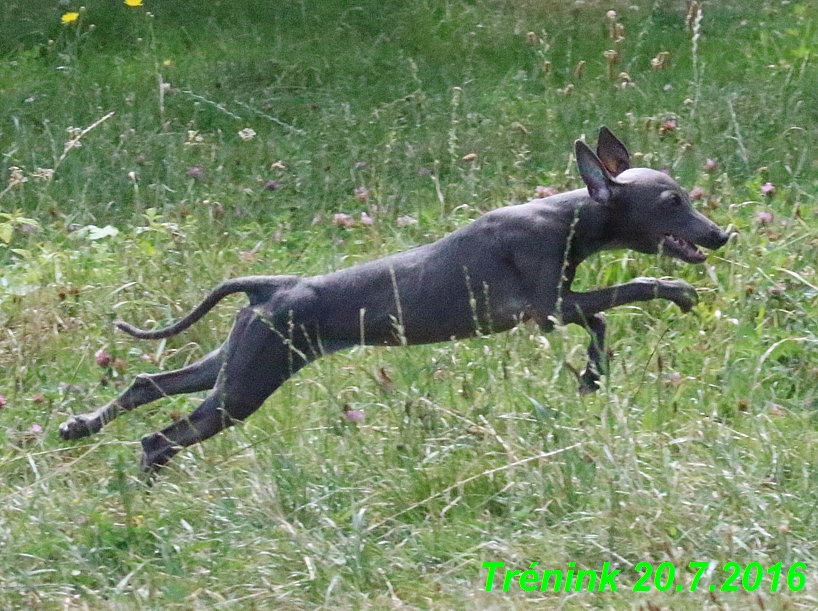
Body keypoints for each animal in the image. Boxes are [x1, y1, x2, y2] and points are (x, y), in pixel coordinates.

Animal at [60, 126, 728, 470]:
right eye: (672, 203)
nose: (722, 235)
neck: (568, 216)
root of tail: (271, 284)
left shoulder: (557, 310)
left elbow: (601, 324)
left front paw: (592, 376)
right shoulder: (546, 309)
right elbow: (629, 291)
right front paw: (676, 291)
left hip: (235, 360)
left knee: (149, 383)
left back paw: (80, 425)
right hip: (245, 385)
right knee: (159, 437)